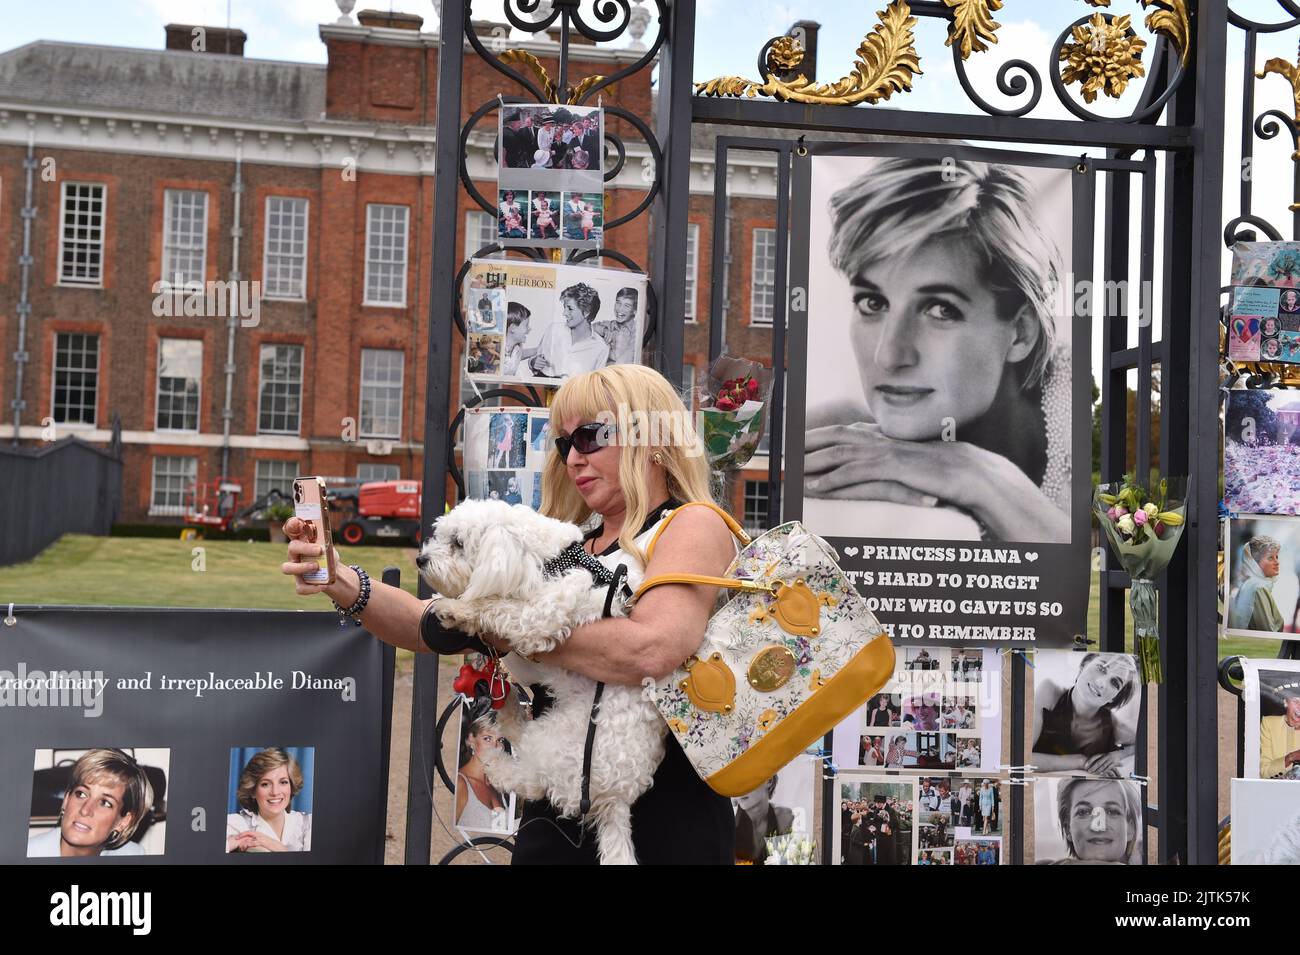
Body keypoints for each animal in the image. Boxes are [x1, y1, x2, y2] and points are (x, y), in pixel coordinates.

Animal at [418, 501, 665, 867]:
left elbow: (495, 604)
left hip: (559, 745)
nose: (420, 560)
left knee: (529, 779)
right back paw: (506, 708)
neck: (544, 560)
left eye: (458, 543)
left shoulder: (539, 615)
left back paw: (493, 756)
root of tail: (616, 800)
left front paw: (455, 608)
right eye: (440, 535)